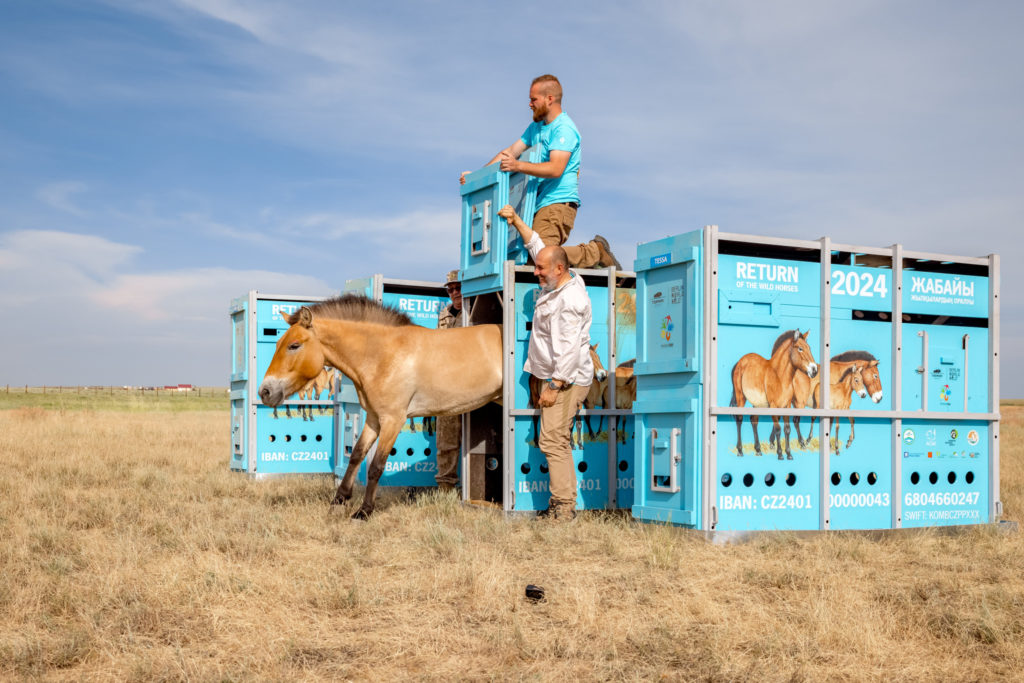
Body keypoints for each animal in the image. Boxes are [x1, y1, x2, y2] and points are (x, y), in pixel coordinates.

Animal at [258, 294, 501, 518]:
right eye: (278, 343)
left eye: (294, 345)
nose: (265, 392)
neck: (384, 354)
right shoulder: (374, 419)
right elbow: (356, 455)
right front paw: (339, 500)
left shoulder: (393, 420)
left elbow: (376, 465)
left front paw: (363, 511)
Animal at [733, 329, 819, 458]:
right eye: (800, 348)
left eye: (809, 348)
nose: (814, 370)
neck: (780, 376)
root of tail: (741, 361)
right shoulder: (773, 405)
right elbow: (778, 428)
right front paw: (780, 454)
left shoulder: (787, 406)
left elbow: (787, 429)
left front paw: (789, 454)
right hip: (741, 397)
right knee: (739, 419)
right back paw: (740, 451)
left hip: (757, 403)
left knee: (754, 420)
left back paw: (758, 450)